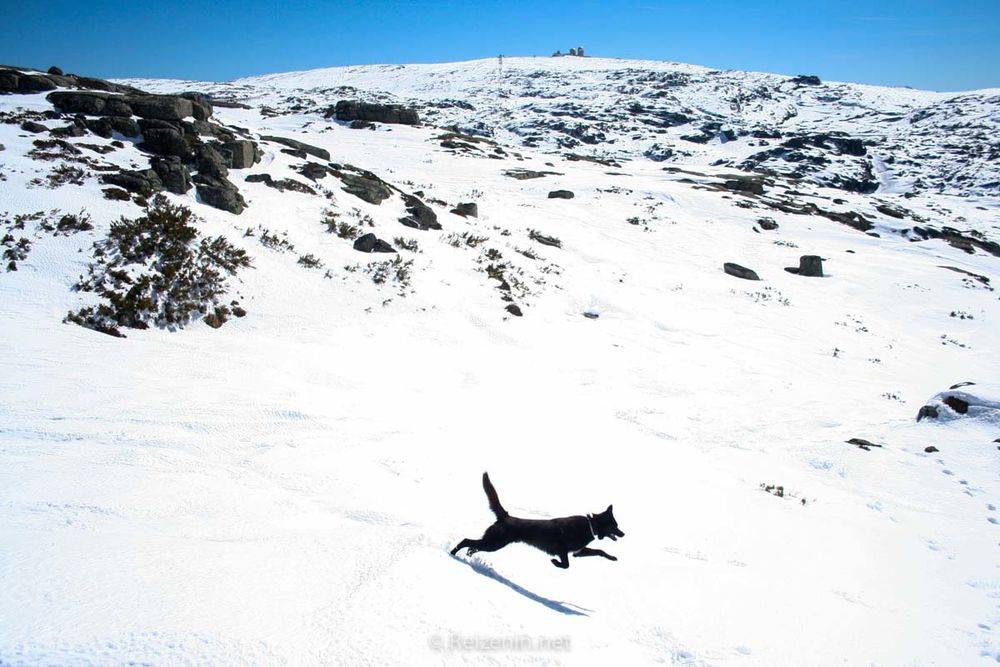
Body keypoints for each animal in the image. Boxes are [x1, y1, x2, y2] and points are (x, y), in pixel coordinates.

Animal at [450, 472, 620, 572]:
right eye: (615, 525)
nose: (623, 533)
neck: (591, 525)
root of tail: (505, 516)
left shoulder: (578, 551)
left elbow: (599, 551)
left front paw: (613, 558)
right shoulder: (562, 549)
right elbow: (566, 565)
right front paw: (554, 562)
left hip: (492, 543)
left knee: (473, 545)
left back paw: (467, 553)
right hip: (494, 543)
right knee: (466, 540)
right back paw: (452, 553)